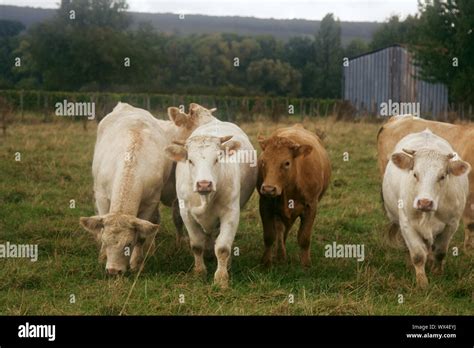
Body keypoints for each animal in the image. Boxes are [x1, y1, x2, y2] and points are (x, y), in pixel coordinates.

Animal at [80, 102, 216, 274]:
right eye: (203, 125)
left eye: (128, 244)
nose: (113, 271)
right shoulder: (102, 197)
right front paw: (103, 256)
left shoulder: (156, 200)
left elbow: (153, 228)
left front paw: (137, 263)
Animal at [165, 119, 258, 288]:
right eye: (190, 160)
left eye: (217, 159)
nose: (204, 184)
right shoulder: (186, 213)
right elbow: (196, 245)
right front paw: (199, 272)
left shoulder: (231, 213)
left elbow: (223, 248)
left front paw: (221, 278)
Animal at [258, 123, 332, 266]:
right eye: (263, 161)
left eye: (287, 163)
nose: (269, 189)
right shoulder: (265, 203)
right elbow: (269, 235)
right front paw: (266, 262)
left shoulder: (311, 206)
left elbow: (304, 238)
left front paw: (305, 264)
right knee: (280, 230)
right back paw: (280, 255)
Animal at [382, 129, 470, 286]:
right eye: (415, 174)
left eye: (442, 176)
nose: (424, 202)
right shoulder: (407, 224)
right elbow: (417, 255)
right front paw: (422, 282)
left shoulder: (451, 225)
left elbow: (440, 252)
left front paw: (437, 272)